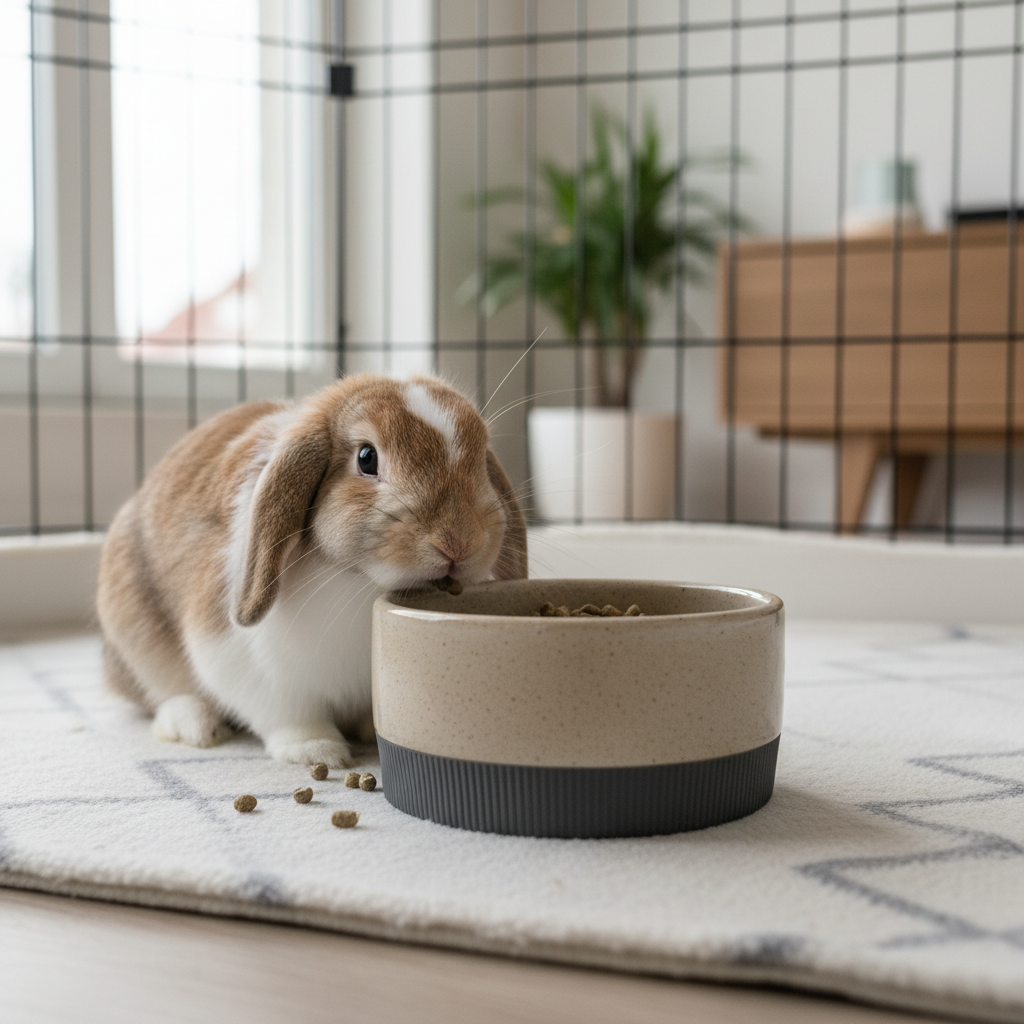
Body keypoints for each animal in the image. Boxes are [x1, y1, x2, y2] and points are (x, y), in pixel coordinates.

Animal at [97, 372, 528, 767]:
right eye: (367, 458)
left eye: (481, 457)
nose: (459, 542)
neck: (363, 584)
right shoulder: (245, 662)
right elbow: (289, 715)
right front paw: (317, 751)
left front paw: (368, 735)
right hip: (136, 635)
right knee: (161, 693)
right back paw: (197, 725)